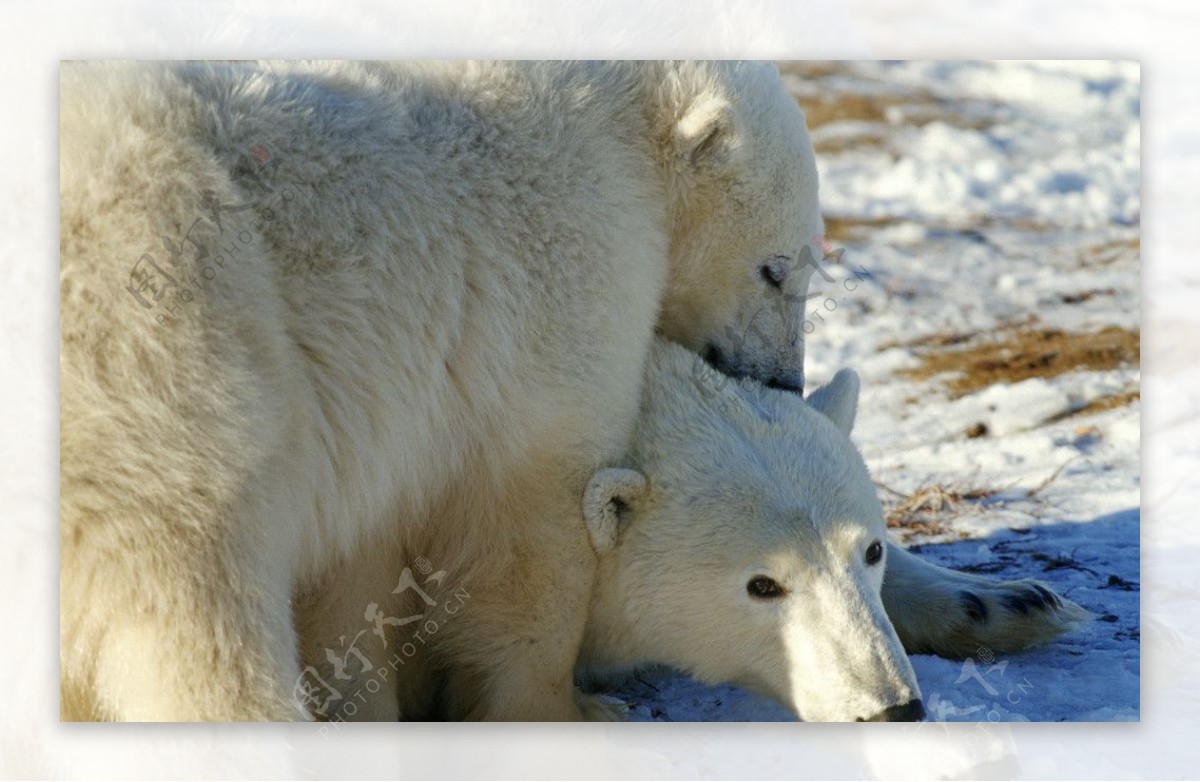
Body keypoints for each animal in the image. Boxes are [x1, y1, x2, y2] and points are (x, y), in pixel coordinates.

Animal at [56, 59, 825, 719]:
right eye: (776, 270)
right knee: (192, 612)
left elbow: (360, 567)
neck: (620, 123)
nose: (784, 381)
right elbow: (530, 523)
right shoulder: (568, 263)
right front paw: (569, 708)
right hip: (173, 364)